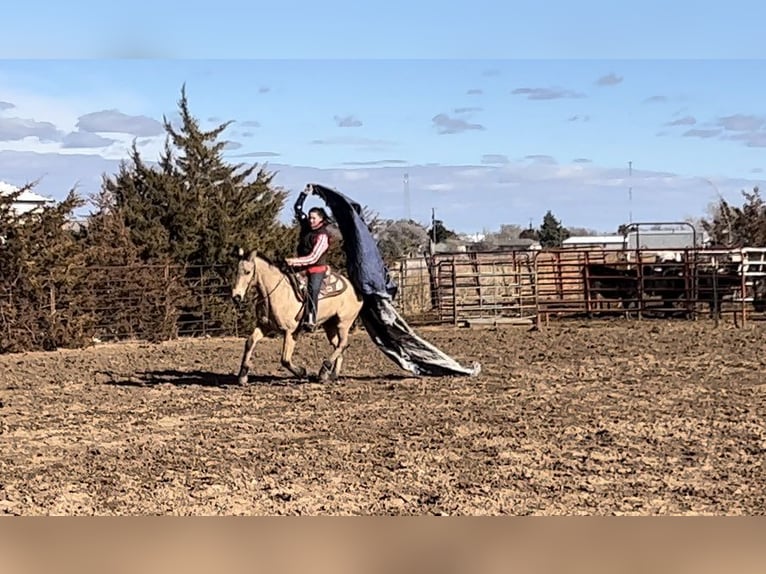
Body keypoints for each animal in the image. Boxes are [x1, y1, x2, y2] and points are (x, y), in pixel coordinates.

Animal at [230, 249, 364, 388]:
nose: (236, 297)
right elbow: (250, 342)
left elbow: (285, 359)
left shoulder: (291, 331)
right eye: (237, 271)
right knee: (338, 345)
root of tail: (355, 288)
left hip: (343, 323)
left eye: (247, 272)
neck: (277, 293)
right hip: (330, 325)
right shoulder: (263, 326)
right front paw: (242, 376)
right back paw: (332, 375)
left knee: (342, 344)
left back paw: (323, 370)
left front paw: (302, 372)